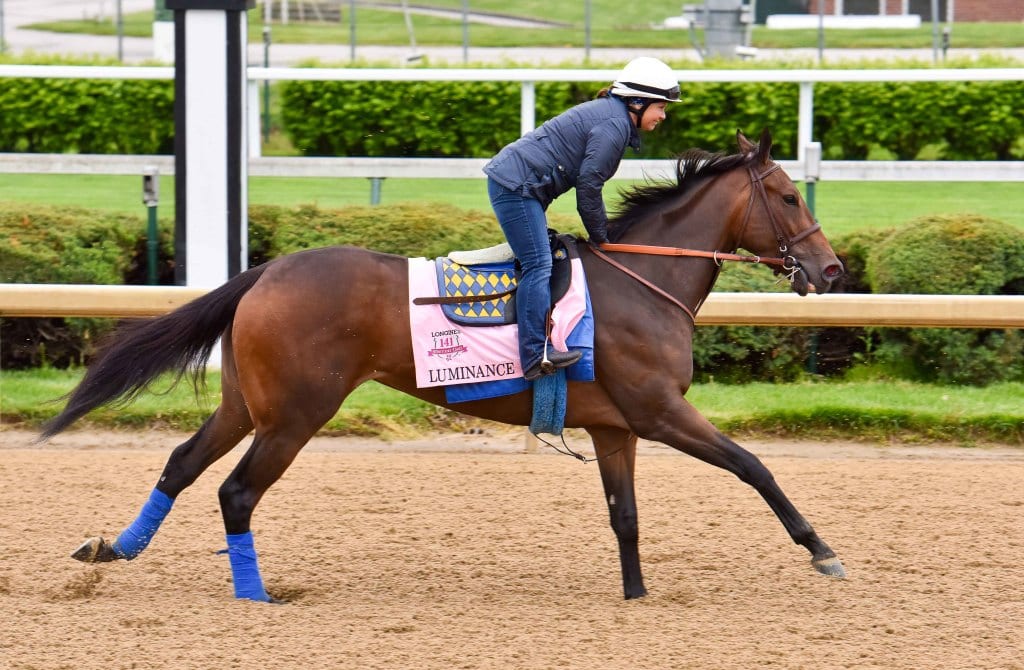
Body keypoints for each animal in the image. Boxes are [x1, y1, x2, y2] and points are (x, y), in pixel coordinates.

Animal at [44, 128, 847, 602]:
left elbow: (626, 517)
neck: (643, 280)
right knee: (237, 492)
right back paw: (255, 593)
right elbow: (754, 466)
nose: (832, 269)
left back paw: (113, 548)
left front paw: (637, 595)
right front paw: (821, 550)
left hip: (247, 403)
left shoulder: (616, 427)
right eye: (785, 195)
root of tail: (265, 271)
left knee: (182, 464)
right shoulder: (660, 411)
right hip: (297, 414)